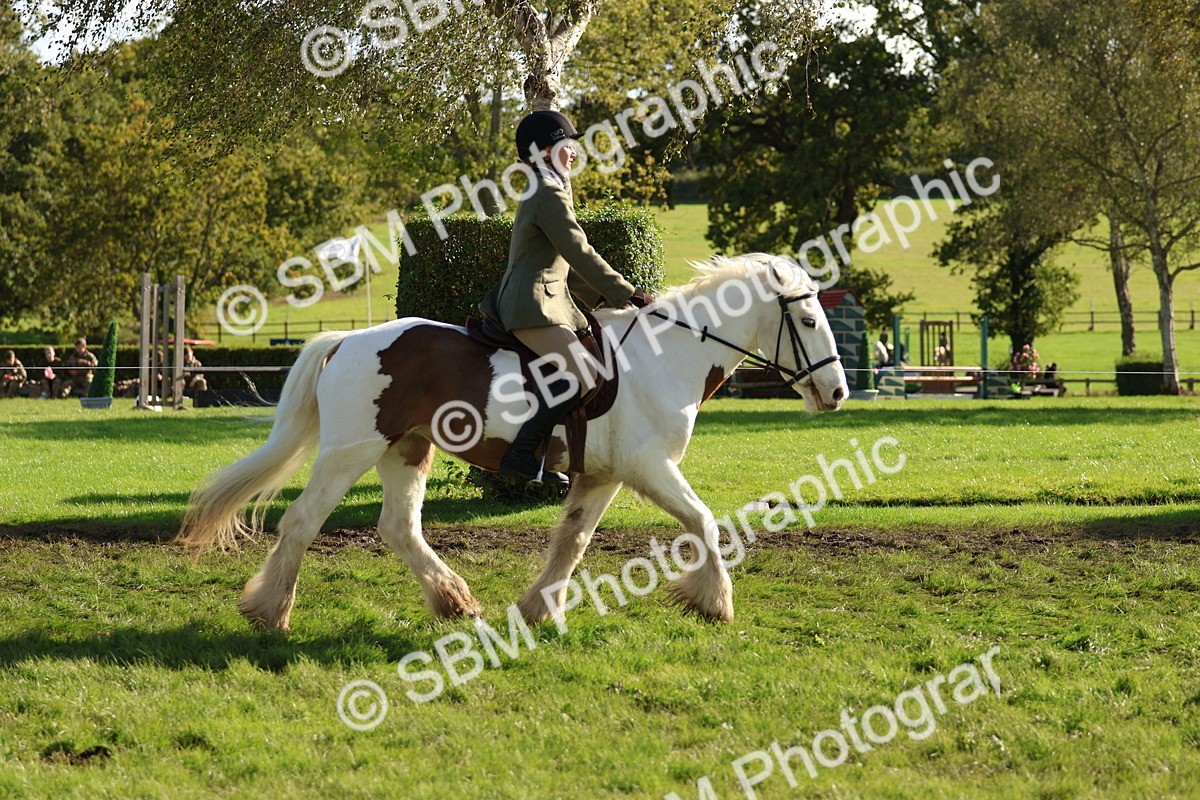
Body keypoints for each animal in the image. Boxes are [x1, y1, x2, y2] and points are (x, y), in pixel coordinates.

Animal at [178, 253, 849, 631]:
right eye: (808, 320)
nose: (838, 392)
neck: (668, 355)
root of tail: (348, 339)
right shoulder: (649, 467)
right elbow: (706, 521)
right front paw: (714, 602)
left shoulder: (602, 475)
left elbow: (571, 543)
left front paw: (539, 611)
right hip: (352, 452)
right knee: (302, 521)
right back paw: (270, 613)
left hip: (406, 449)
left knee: (399, 527)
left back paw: (454, 602)